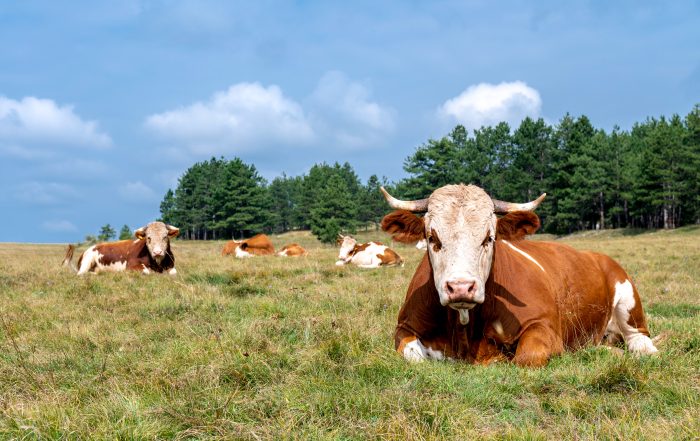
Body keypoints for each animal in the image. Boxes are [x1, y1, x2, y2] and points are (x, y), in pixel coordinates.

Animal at [379, 184, 658, 367]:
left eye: (489, 237)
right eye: (432, 237)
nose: (460, 287)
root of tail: (598, 255)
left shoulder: (543, 325)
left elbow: (527, 356)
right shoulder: (404, 327)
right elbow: (413, 356)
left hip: (628, 299)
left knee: (638, 337)